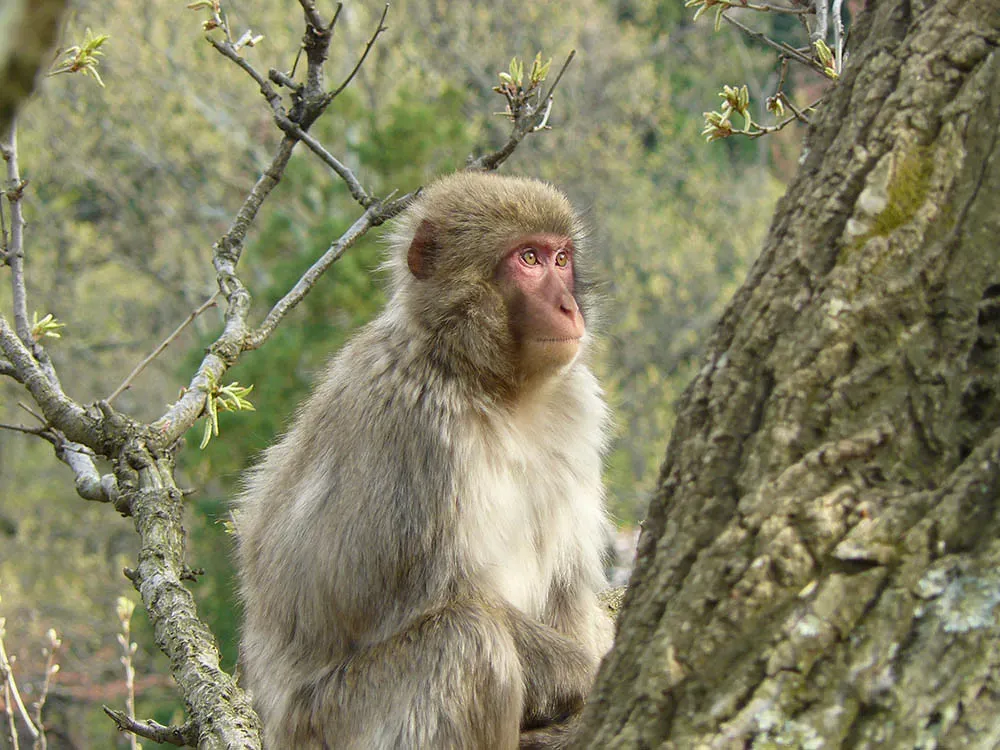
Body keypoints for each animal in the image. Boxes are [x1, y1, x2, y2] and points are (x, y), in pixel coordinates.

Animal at [236, 171, 613, 749]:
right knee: (467, 640)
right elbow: (447, 596)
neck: (489, 382)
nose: (568, 307)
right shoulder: (422, 427)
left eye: (561, 258)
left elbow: (568, 587)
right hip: (331, 720)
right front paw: (587, 676)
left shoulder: (578, 410)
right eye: (528, 259)